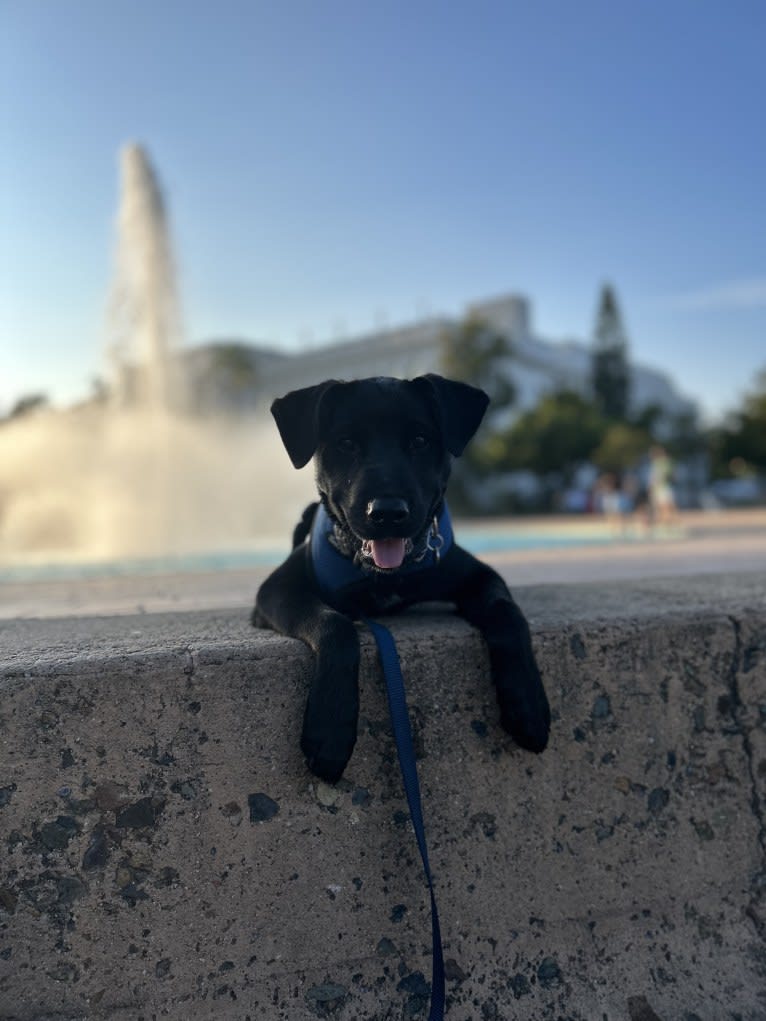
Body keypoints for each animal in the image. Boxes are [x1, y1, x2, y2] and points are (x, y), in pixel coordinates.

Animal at [253, 375, 551, 780]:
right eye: (346, 442)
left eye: (420, 440)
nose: (387, 512)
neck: (385, 578)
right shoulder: (276, 590)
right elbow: (335, 625)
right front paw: (330, 729)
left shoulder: (478, 575)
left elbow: (507, 613)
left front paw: (529, 705)